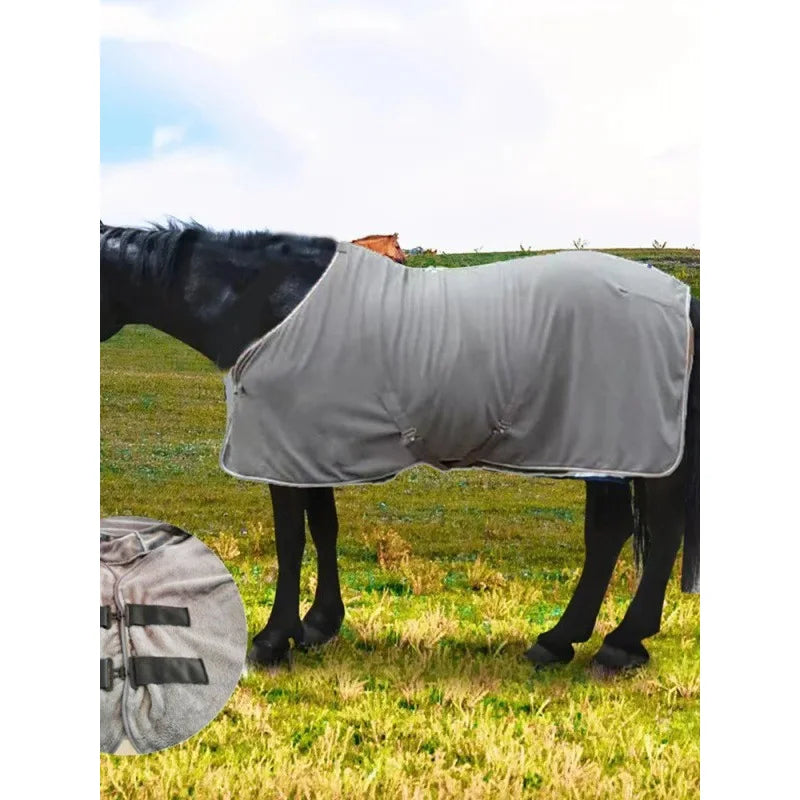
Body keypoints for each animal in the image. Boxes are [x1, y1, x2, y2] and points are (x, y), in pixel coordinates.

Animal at [100, 220, 699, 673]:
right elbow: (324, 528)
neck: (268, 304)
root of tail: (678, 296)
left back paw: (616, 645)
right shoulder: (308, 451)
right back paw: (566, 641)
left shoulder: (282, 453)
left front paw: (272, 640)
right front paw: (318, 625)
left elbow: (291, 539)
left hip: (612, 449)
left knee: (642, 531)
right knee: (614, 533)